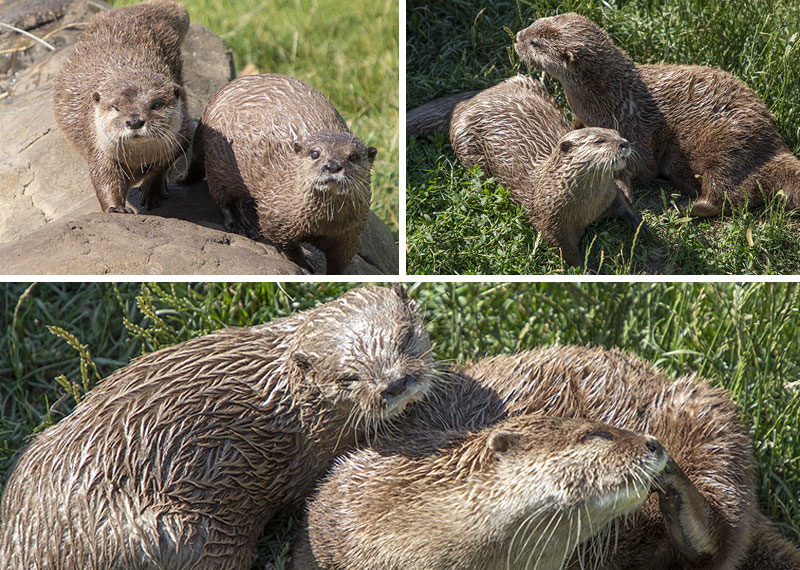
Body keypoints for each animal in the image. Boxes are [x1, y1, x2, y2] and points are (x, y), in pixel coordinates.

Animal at [0, 285, 434, 570]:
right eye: (348, 377)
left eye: (405, 337)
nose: (393, 384)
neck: (300, 407)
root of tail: (33, 544)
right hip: (181, 536)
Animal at [52, 0, 192, 213]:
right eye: (115, 107)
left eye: (156, 104)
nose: (134, 121)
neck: (138, 159)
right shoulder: (99, 151)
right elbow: (104, 180)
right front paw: (116, 208)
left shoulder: (183, 135)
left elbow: (160, 168)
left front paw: (153, 190)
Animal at [181, 73, 377, 274]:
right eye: (315, 153)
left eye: (352, 157)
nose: (332, 165)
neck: (324, 224)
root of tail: (211, 105)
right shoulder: (276, 218)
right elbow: (288, 247)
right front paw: (305, 265)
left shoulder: (351, 234)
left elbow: (341, 261)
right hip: (218, 160)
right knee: (222, 196)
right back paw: (240, 225)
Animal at [515, 12, 800, 216]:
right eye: (535, 23)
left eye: (535, 44)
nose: (517, 36)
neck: (610, 98)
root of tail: (775, 148)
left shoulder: (632, 129)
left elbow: (640, 166)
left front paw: (623, 189)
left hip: (729, 147)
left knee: (729, 197)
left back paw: (685, 207)